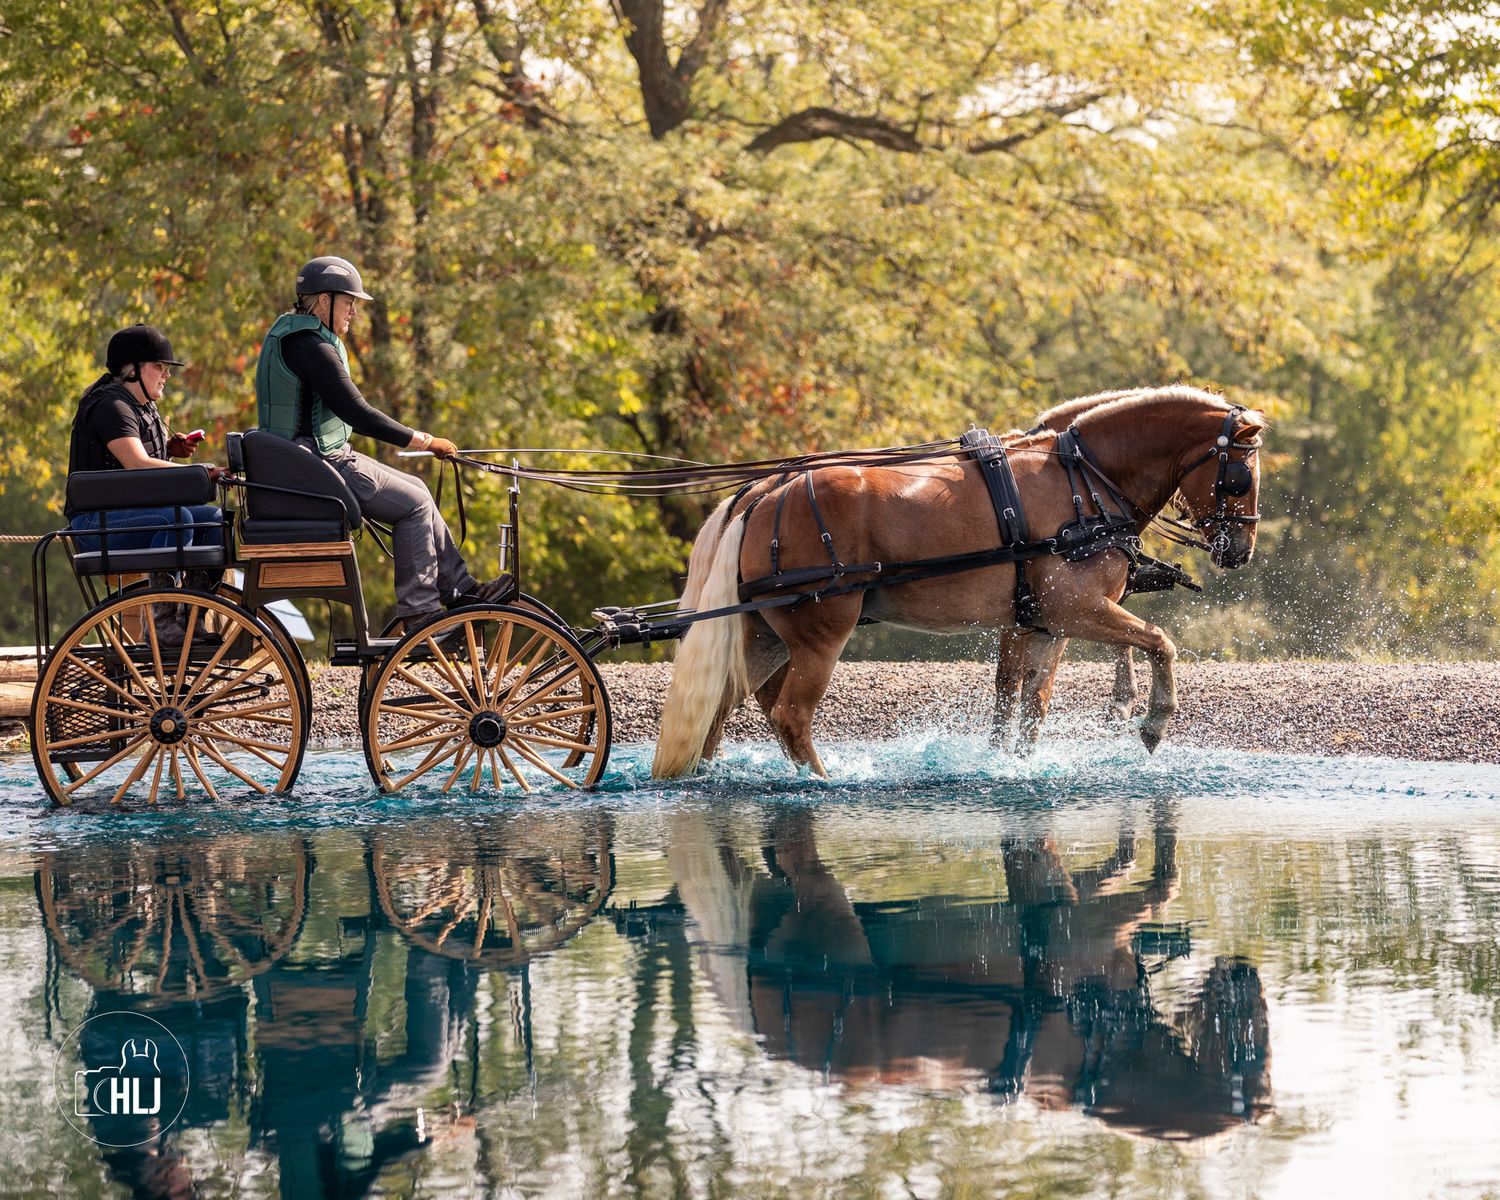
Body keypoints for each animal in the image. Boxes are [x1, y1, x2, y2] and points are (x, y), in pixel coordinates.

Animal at [652, 387, 1264, 778]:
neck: (1085, 482)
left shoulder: (1039, 623)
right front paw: (1153, 719)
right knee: (791, 717)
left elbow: (1026, 699)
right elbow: (1160, 641)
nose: (1240, 551)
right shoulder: (1076, 610)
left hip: (762, 634)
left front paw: (1011, 764)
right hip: (820, 634)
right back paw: (822, 784)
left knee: (717, 708)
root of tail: (763, 493)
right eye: (1241, 476)